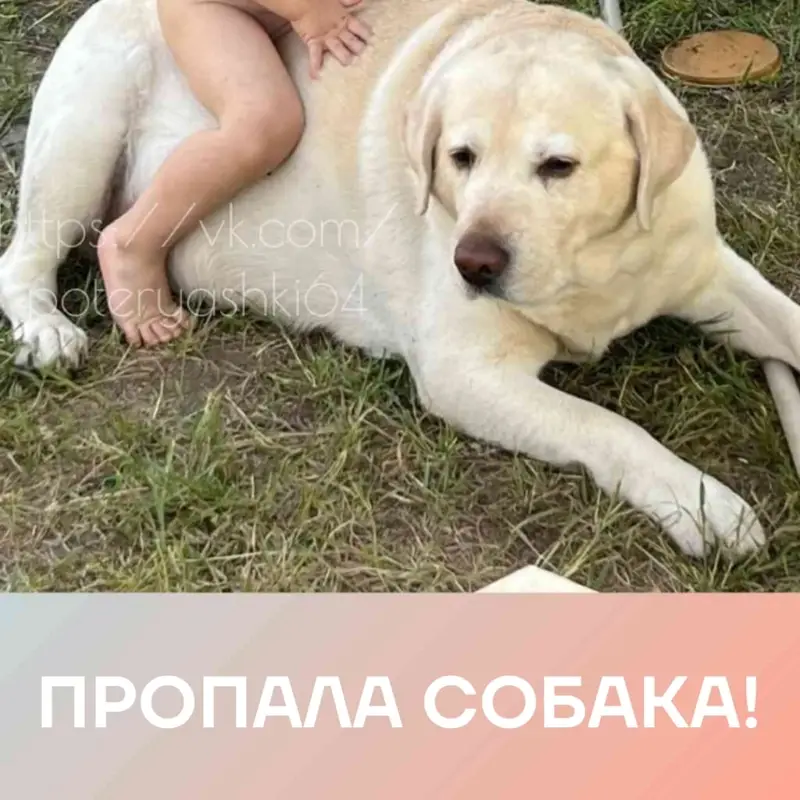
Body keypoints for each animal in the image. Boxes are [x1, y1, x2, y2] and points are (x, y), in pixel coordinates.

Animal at [2, 0, 800, 559]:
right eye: (460, 157)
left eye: (558, 166)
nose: (473, 262)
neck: (592, 269)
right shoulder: (462, 372)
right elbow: (609, 427)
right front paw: (705, 505)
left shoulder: (705, 268)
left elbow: (785, 321)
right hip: (85, 136)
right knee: (28, 256)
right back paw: (55, 326)